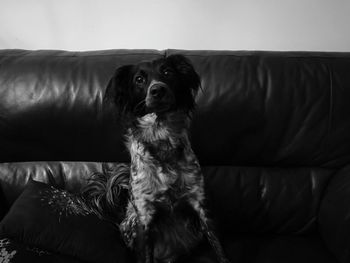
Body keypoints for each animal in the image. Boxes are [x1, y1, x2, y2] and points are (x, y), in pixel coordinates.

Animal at [90, 55, 230, 263]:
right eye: (139, 79)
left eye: (167, 72)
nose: (158, 90)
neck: (162, 136)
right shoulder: (144, 215)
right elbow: (145, 255)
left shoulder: (201, 204)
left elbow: (219, 248)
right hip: (131, 224)